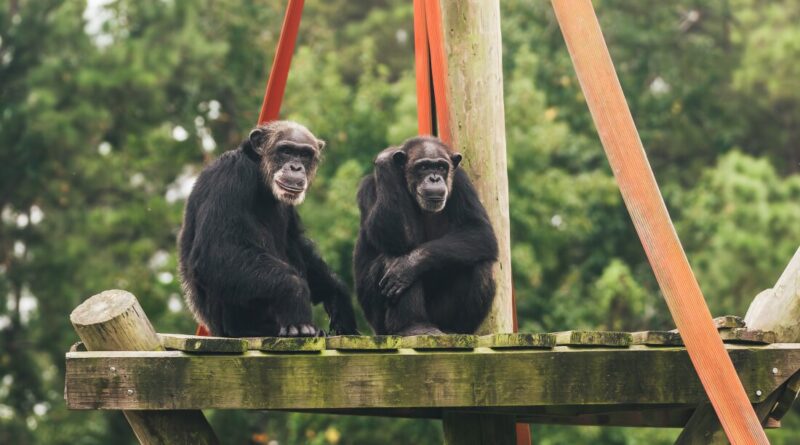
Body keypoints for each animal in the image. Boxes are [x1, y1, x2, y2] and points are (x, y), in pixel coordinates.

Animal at [181, 119, 360, 334]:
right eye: (286, 151)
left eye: (304, 154)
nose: (295, 167)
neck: (260, 177)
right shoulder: (229, 176)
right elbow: (217, 250)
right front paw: (296, 300)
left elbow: (296, 240)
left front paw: (337, 294)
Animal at [354, 135, 496, 332]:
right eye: (423, 167)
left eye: (441, 167)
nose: (435, 178)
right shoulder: (371, 186)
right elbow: (393, 234)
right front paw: (385, 158)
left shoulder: (462, 182)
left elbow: (479, 230)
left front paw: (408, 266)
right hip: (378, 323)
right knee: (392, 254)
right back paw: (413, 326)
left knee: (480, 265)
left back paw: (453, 329)